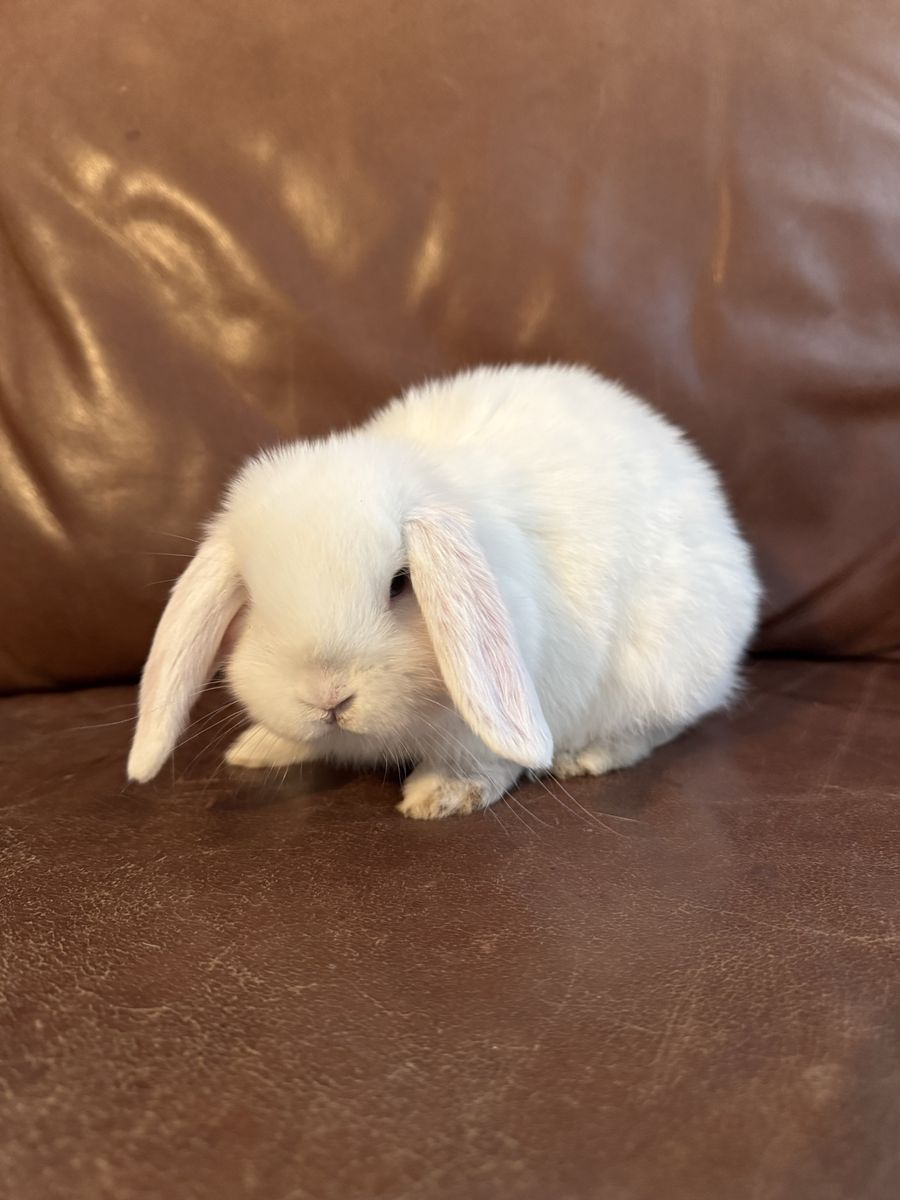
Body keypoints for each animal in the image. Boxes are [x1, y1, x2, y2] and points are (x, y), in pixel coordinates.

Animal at [127, 363, 760, 819]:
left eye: (400, 583)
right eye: (254, 602)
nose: (328, 698)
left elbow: (480, 759)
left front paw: (441, 797)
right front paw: (262, 746)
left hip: (661, 668)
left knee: (660, 725)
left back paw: (585, 756)